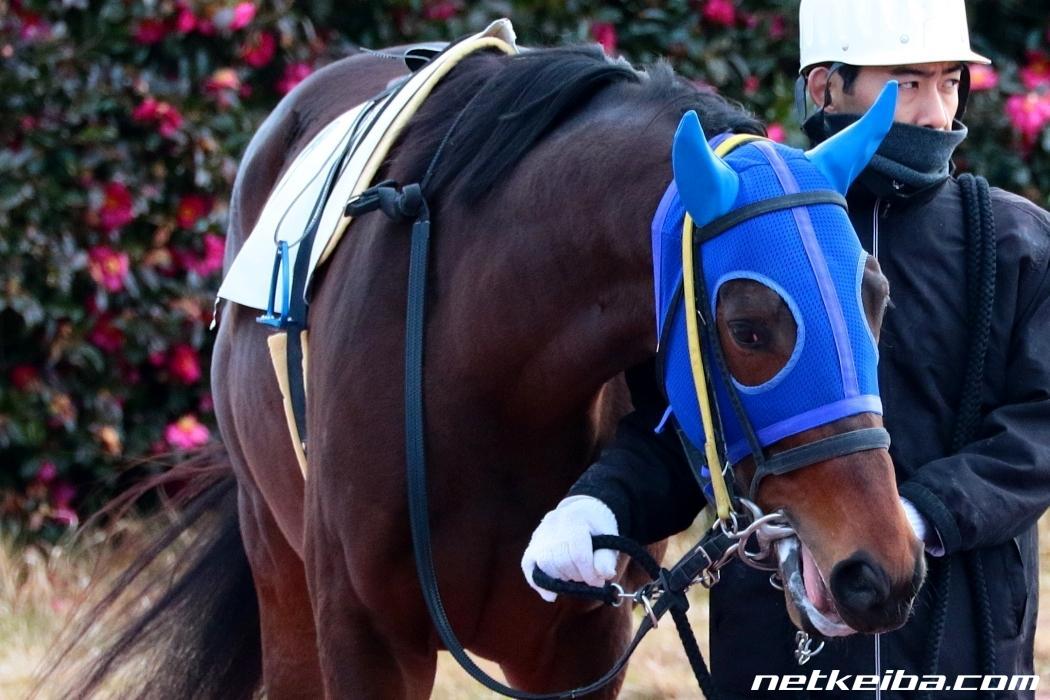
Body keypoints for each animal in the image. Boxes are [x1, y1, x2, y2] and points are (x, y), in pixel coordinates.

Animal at [53, 42, 924, 699]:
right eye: (747, 326)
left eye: (877, 295)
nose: (881, 570)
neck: (482, 374)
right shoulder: (366, 639)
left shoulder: (577, 648)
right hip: (279, 569)